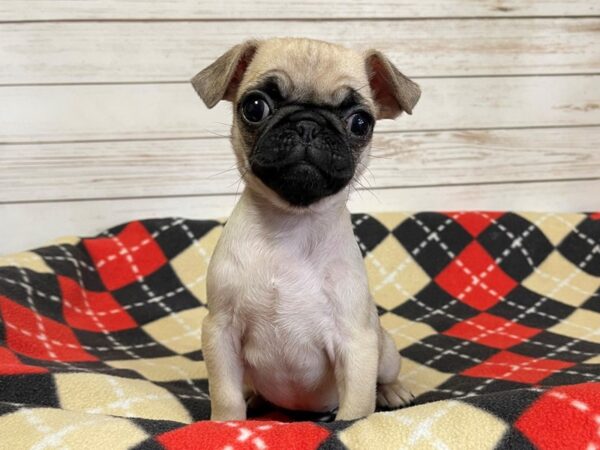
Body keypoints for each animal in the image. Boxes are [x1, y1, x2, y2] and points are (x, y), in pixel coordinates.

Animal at [191, 38, 418, 422]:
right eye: (254, 107)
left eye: (361, 123)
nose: (308, 125)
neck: (291, 224)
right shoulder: (220, 330)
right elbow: (225, 394)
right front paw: (225, 424)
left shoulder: (356, 342)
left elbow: (357, 405)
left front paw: (352, 426)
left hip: (384, 350)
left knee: (385, 375)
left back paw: (394, 391)